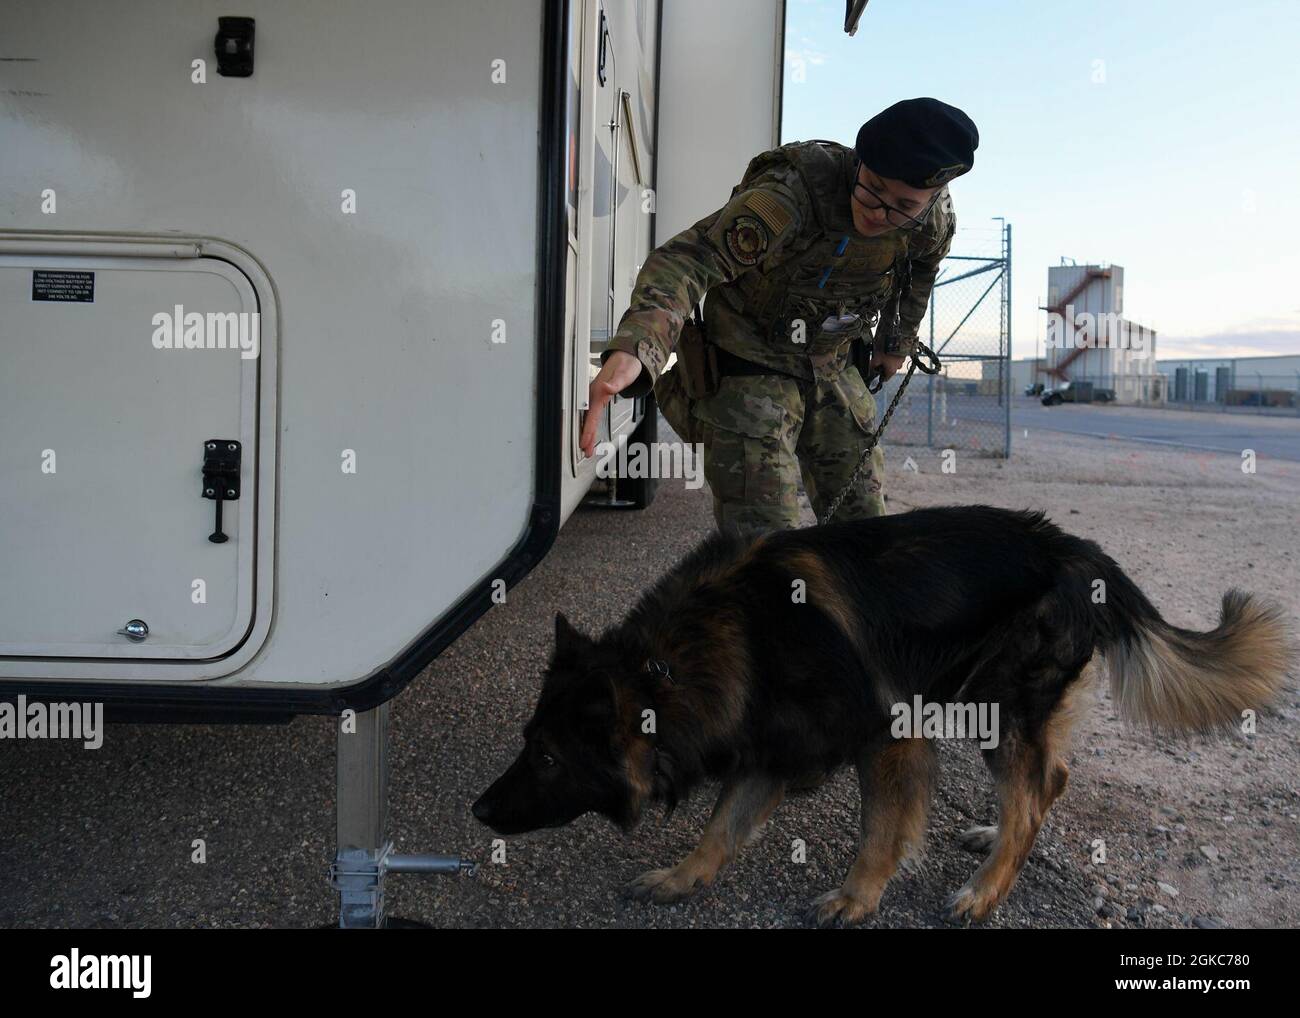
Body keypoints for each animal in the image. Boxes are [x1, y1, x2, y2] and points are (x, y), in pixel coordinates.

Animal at [475, 504, 1289, 925]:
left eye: (547, 756)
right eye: (528, 742)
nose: (477, 811)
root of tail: (1079, 549)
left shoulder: (887, 736)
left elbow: (878, 833)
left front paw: (854, 897)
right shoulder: (770, 745)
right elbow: (721, 826)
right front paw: (683, 877)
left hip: (994, 703)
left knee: (1031, 795)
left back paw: (985, 890)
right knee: (1048, 779)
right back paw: (993, 837)